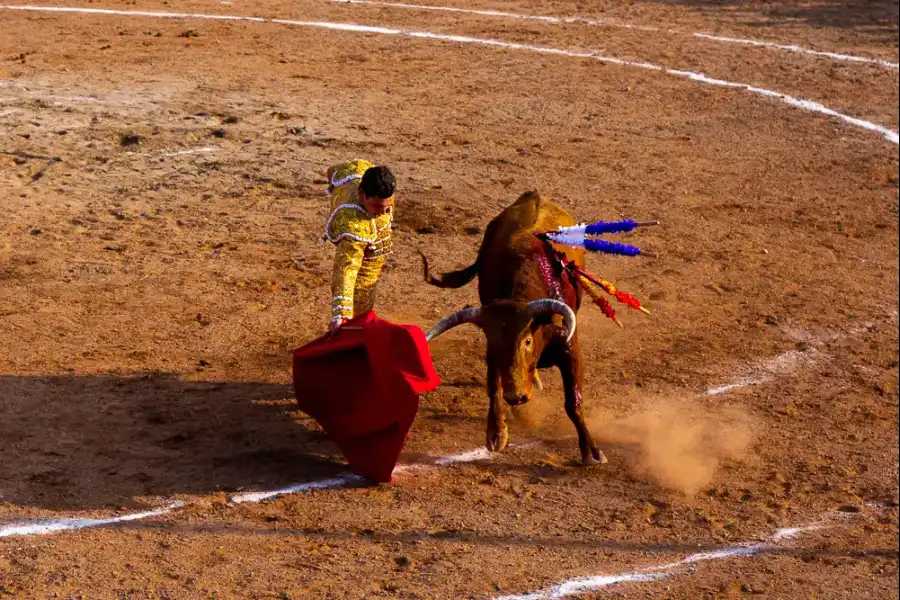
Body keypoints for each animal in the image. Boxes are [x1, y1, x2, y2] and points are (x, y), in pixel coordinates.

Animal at [420, 191, 604, 464]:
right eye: (496, 344)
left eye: (527, 341)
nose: (517, 396)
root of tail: (533, 195)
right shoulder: (493, 355)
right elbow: (494, 387)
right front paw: (497, 433)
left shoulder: (570, 349)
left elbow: (573, 402)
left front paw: (591, 451)